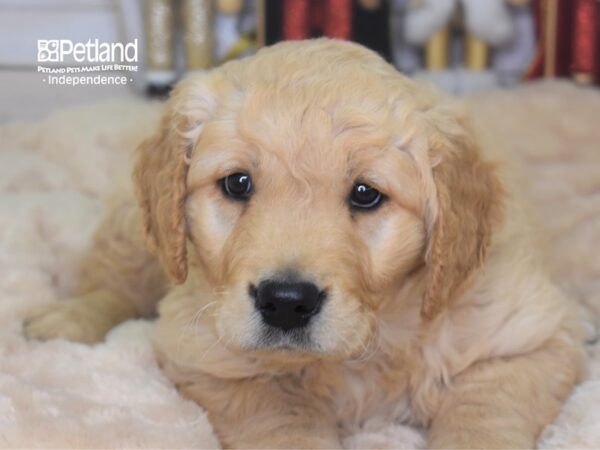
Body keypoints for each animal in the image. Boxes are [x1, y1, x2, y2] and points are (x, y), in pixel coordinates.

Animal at [24, 40, 584, 448]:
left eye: (366, 194)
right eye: (237, 184)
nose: (286, 302)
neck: (376, 340)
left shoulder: (523, 341)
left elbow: (481, 416)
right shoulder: (209, 356)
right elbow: (281, 420)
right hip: (142, 232)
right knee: (114, 279)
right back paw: (65, 318)